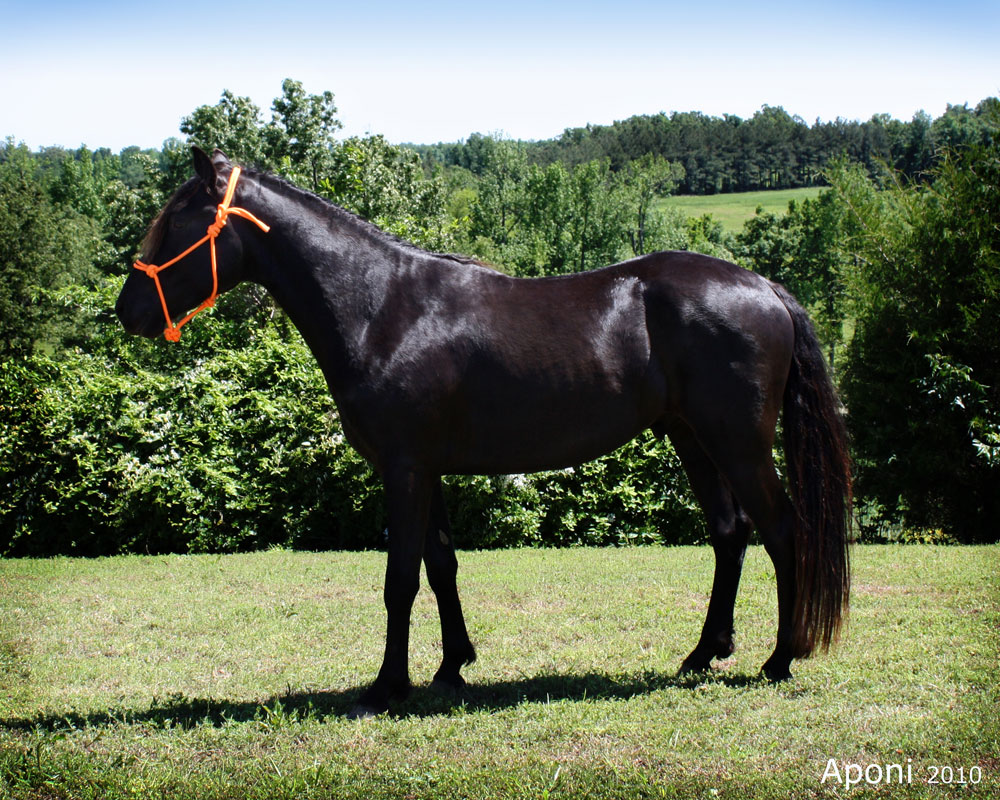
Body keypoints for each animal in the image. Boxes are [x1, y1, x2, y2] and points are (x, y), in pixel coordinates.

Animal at [116, 147, 851, 718]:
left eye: (176, 222)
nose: (126, 312)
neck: (382, 306)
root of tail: (764, 288)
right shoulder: (425, 468)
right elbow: (441, 566)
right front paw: (451, 668)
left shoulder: (405, 468)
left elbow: (400, 579)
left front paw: (386, 688)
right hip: (692, 438)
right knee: (730, 534)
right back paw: (702, 654)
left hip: (739, 444)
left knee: (783, 531)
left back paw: (779, 660)